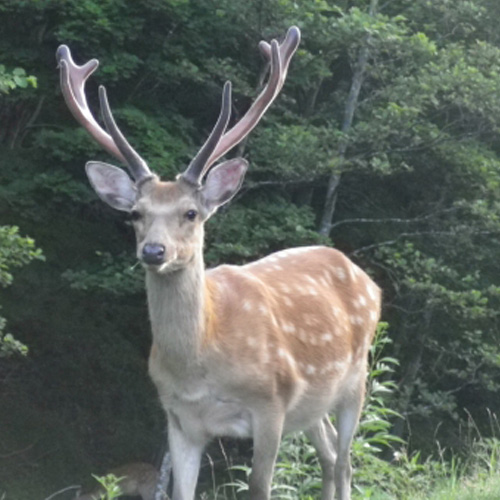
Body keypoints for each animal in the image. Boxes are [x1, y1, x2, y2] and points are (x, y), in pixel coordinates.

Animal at [56, 26, 380, 500]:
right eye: (135, 214)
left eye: (191, 212)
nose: (153, 252)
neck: (201, 368)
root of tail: (365, 276)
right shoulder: (180, 420)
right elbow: (181, 491)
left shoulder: (271, 404)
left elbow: (259, 489)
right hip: (312, 405)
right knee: (329, 456)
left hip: (355, 378)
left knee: (345, 462)